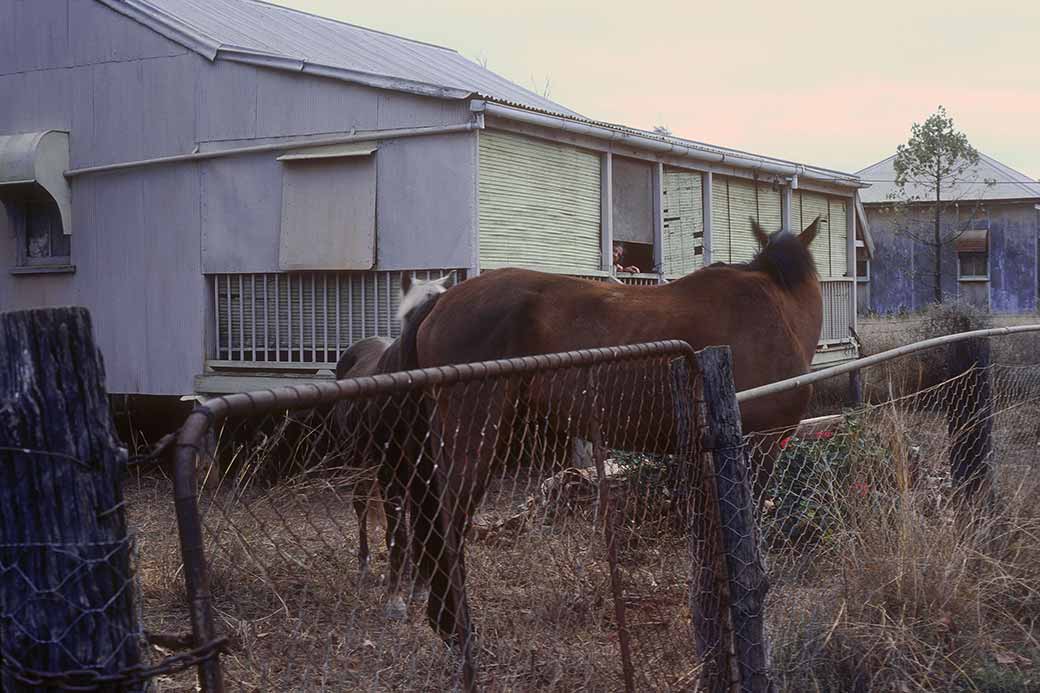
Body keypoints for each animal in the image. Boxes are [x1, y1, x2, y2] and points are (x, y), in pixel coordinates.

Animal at [403, 216, 819, 665]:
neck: (776, 307)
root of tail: (440, 304)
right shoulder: (756, 448)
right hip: (474, 437)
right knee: (448, 523)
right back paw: (456, 630)